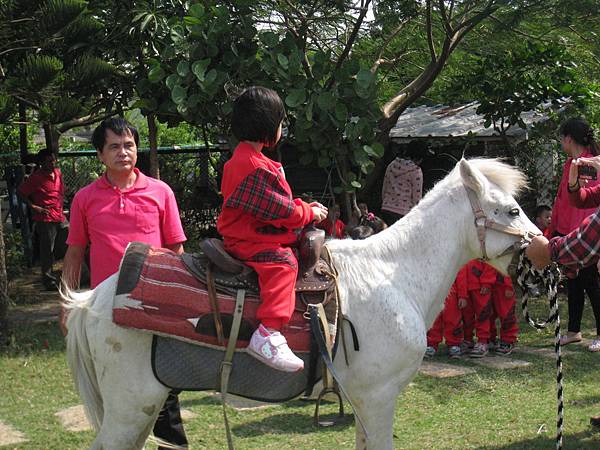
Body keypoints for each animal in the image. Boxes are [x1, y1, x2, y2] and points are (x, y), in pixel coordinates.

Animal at [64, 159, 540, 450]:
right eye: (511, 210)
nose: (541, 252)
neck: (395, 274)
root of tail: (95, 298)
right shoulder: (380, 396)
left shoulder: (365, 400)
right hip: (132, 406)